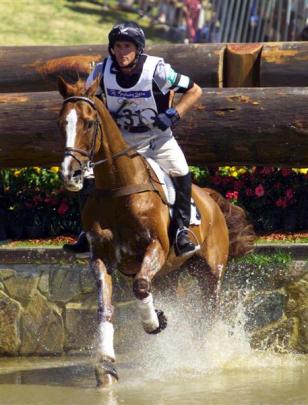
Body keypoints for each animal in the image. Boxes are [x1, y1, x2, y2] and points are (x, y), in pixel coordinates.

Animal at [57, 77, 255, 386]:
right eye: (61, 122)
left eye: (88, 123)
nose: (71, 174)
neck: (117, 188)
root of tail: (211, 200)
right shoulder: (101, 258)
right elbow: (105, 307)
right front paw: (106, 366)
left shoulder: (156, 248)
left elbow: (139, 286)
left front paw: (153, 323)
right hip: (170, 275)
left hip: (210, 272)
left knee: (209, 312)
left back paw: (208, 356)